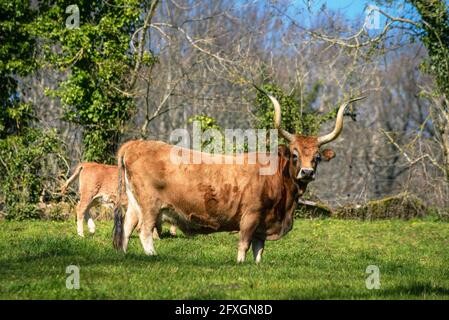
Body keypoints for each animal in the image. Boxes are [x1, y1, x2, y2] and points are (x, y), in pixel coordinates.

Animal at [112, 92, 364, 262]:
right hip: (150, 206)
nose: (307, 172)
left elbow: (259, 250)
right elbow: (243, 245)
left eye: (317, 157)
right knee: (144, 231)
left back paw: (124, 256)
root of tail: (135, 144)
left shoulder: (264, 224)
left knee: (126, 228)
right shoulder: (250, 216)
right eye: (295, 154)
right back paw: (153, 256)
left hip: (135, 203)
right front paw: (240, 264)